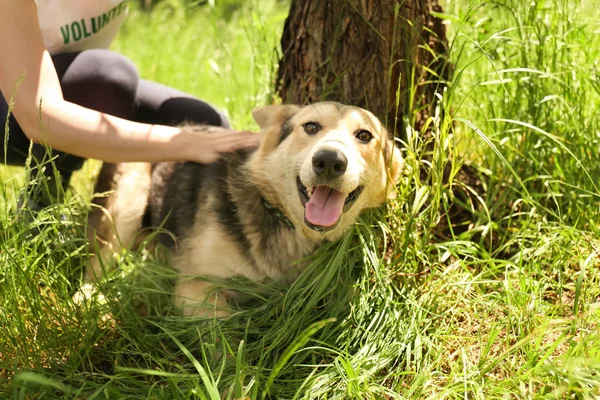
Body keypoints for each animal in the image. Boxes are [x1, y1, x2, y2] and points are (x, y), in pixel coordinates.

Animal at [84, 101, 404, 318]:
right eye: (311, 127)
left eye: (364, 136)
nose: (329, 161)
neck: (282, 219)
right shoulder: (195, 288)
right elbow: (227, 345)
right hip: (125, 205)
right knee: (94, 270)